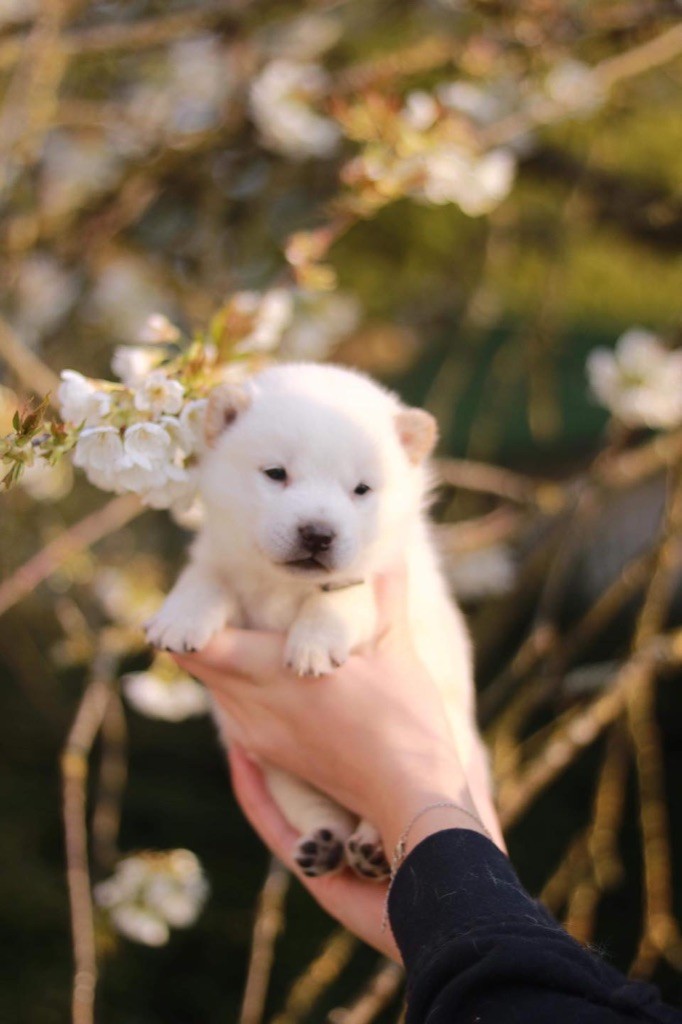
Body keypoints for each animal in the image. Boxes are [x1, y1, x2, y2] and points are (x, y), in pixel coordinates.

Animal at [147, 364, 489, 876]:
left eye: (362, 489)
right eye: (275, 474)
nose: (318, 534)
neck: (284, 586)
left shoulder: (380, 578)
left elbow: (343, 597)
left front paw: (314, 643)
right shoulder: (221, 558)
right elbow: (205, 578)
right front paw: (180, 618)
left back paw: (370, 848)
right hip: (280, 770)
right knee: (314, 806)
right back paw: (324, 842)